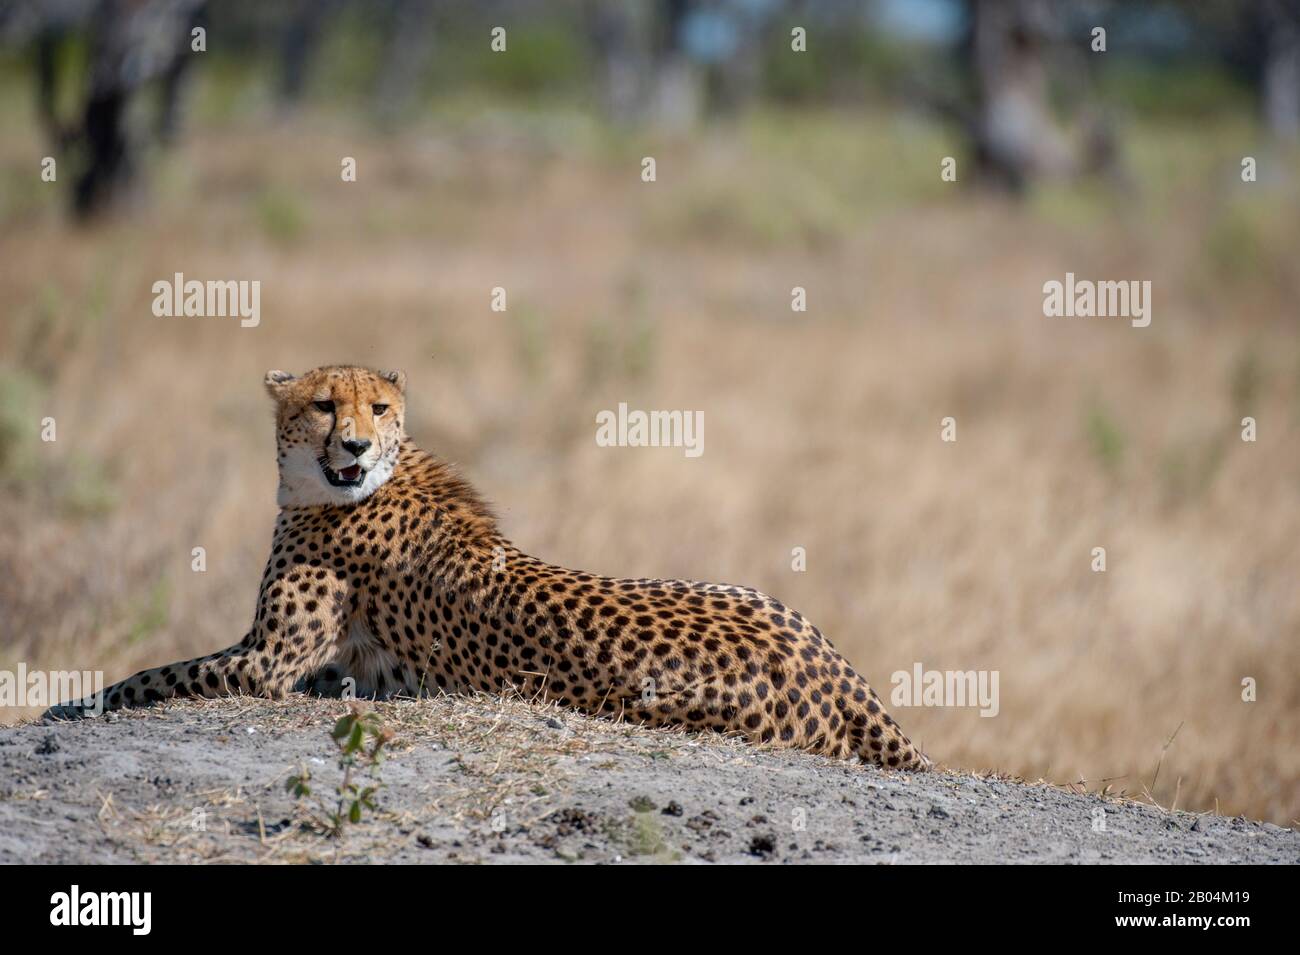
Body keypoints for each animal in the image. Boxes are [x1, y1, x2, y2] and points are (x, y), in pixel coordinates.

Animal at [48, 361, 925, 774]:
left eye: (378, 408)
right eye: (326, 405)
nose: (356, 445)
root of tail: (832, 666)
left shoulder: (267, 661)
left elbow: (154, 675)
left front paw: (71, 704)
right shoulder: (318, 663)